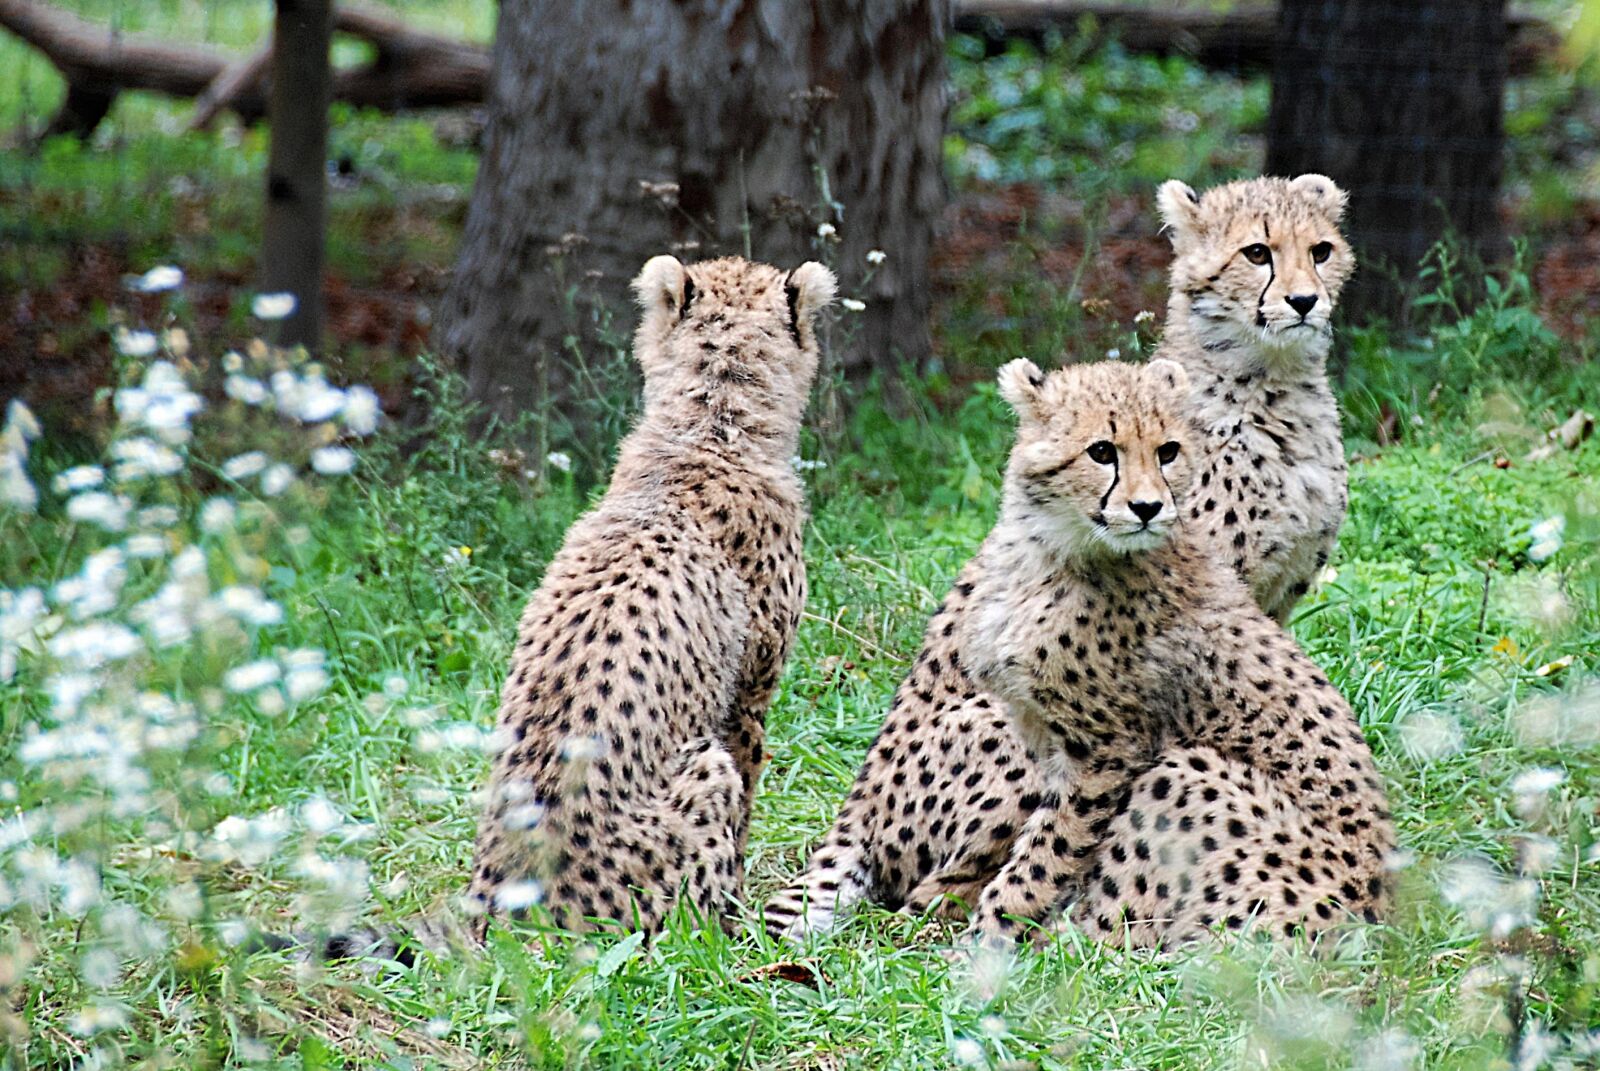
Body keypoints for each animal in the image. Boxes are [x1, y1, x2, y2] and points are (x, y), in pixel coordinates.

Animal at [466, 252, 836, 937]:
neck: (713, 425)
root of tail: (507, 909)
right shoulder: (747, 692)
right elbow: (748, 796)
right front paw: (741, 914)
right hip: (700, 772)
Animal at [960, 357, 1393, 947]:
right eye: (1102, 451)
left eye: (1168, 451)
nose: (1147, 507)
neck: (1050, 549)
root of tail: (1379, 911)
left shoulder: (1106, 750)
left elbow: (1050, 849)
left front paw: (990, 933)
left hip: (1187, 772)